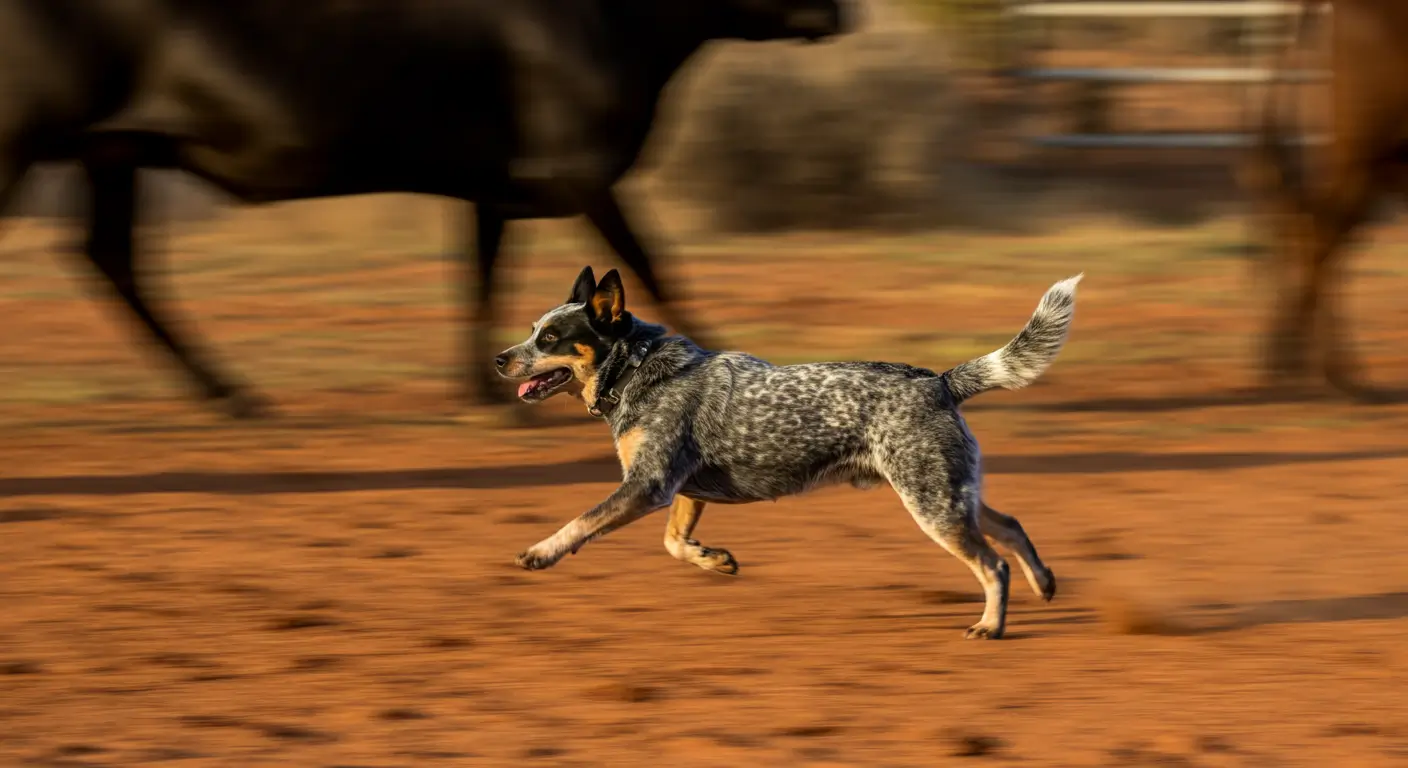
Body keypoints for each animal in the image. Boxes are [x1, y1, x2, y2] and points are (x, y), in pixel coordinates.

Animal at [0, 0, 844, 417]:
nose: (839, 13)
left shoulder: (496, 186)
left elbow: (483, 277)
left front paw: (482, 390)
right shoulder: (580, 169)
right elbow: (650, 264)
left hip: (115, 151)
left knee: (111, 256)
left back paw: (229, 392)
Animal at [501, 266, 1081, 636]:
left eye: (550, 338)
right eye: (531, 331)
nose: (498, 359)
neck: (638, 368)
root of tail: (940, 382)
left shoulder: (648, 485)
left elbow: (582, 521)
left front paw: (541, 552)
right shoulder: (682, 489)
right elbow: (673, 542)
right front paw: (714, 560)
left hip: (932, 504)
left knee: (993, 564)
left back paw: (991, 625)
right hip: (952, 493)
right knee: (1010, 526)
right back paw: (1045, 583)